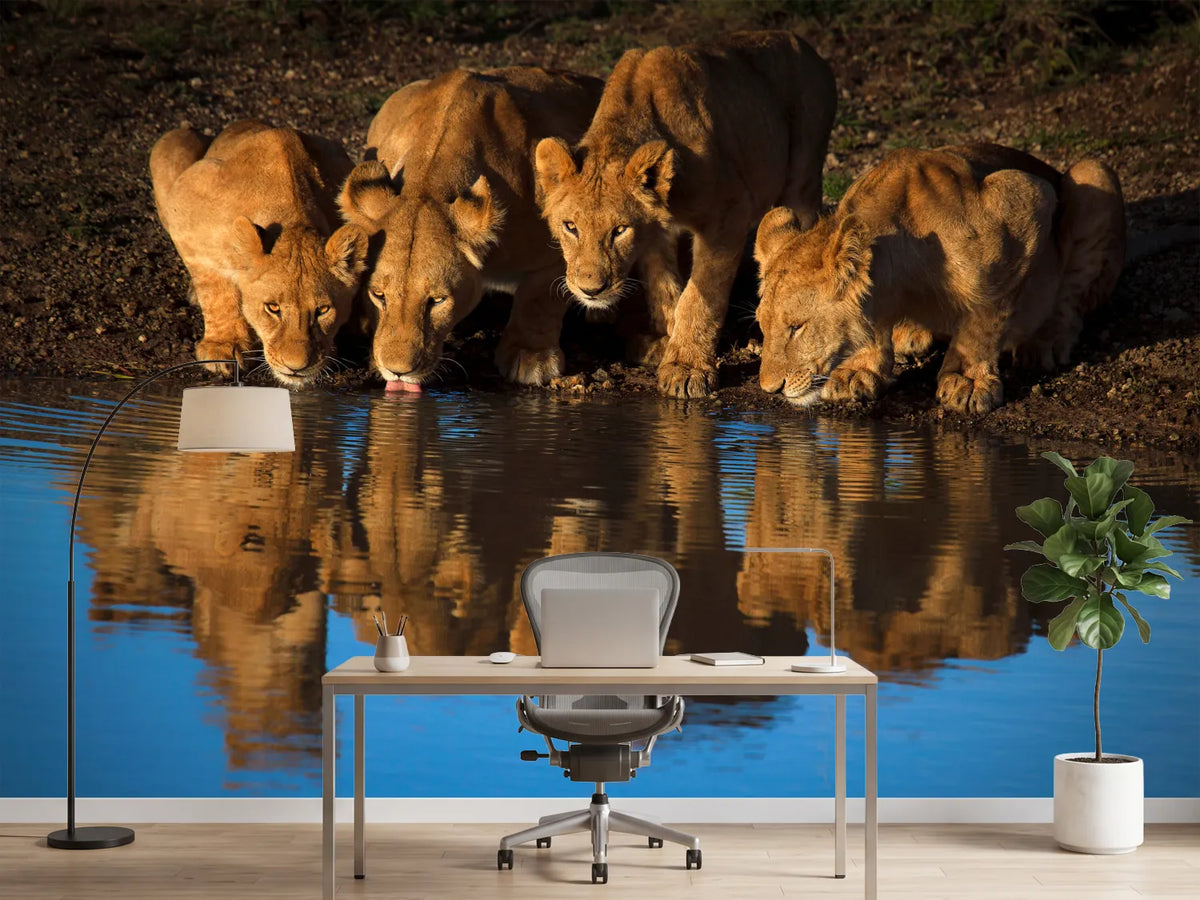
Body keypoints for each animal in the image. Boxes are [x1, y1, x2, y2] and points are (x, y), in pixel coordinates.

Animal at [150, 120, 369, 386]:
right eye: (272, 308)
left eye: (323, 310)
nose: (296, 367)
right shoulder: (185, 205)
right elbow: (215, 288)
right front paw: (223, 346)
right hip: (171, 142)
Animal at [338, 67, 603, 388]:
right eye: (378, 295)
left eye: (437, 300)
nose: (397, 371)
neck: (429, 181)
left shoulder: (558, 244)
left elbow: (540, 299)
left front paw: (531, 357)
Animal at [534, 30, 837, 398]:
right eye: (570, 226)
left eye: (619, 230)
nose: (591, 290)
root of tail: (804, 44)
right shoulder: (656, 233)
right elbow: (665, 289)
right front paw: (666, 343)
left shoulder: (728, 214)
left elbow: (700, 295)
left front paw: (687, 367)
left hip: (803, 174)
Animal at [753, 143, 1125, 414]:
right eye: (762, 326)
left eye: (797, 327)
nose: (770, 389)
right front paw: (860, 369)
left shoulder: (1026, 200)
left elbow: (985, 316)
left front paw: (968, 380)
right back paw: (911, 334)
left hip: (1094, 176)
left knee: (1072, 299)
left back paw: (1044, 342)